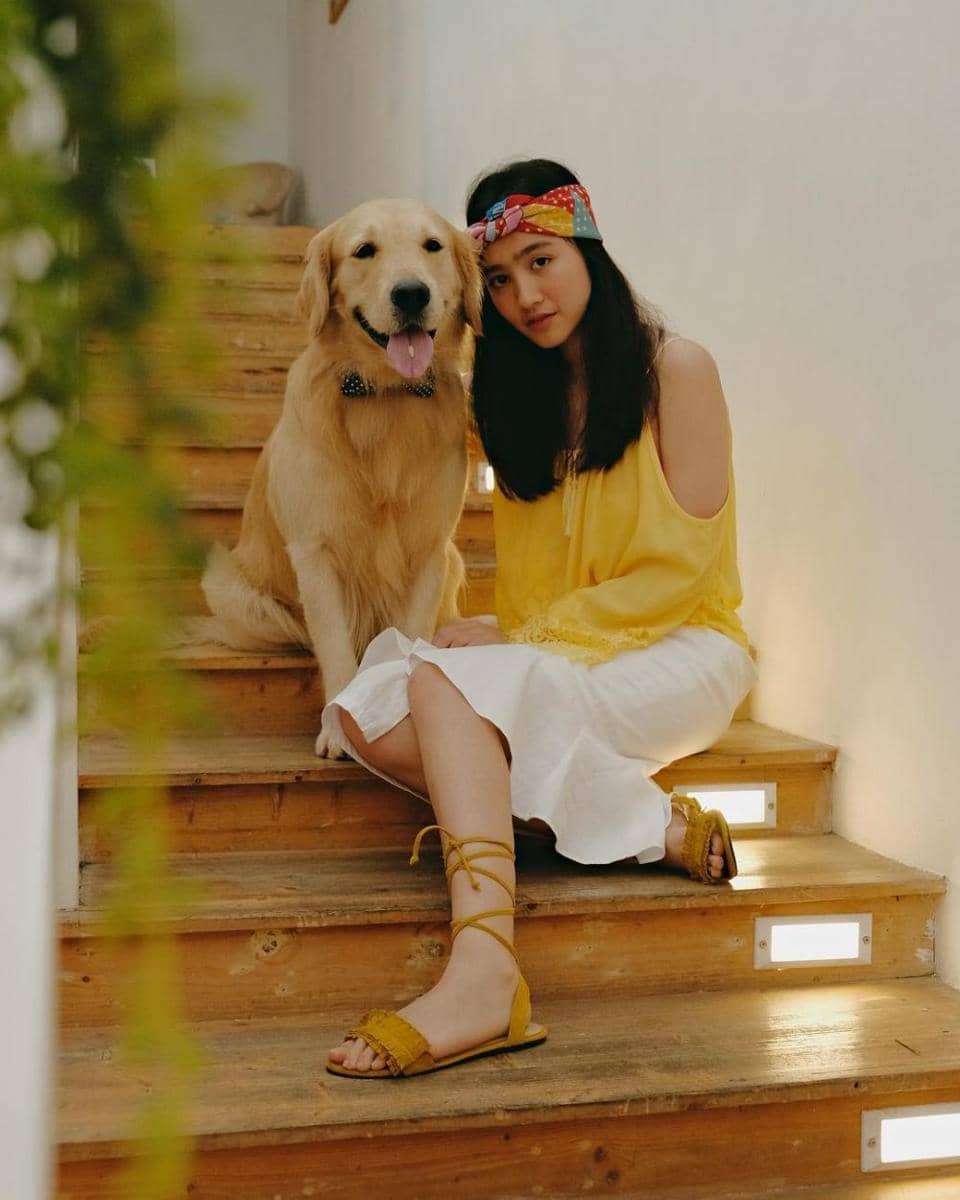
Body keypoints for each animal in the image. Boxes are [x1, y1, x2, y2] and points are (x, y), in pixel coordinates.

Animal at [197, 198, 483, 757]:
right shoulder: (316, 552)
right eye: (364, 250)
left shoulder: (430, 552)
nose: (411, 293)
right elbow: (334, 647)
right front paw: (338, 729)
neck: (386, 396)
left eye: (432, 245)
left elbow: (404, 642)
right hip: (236, 594)